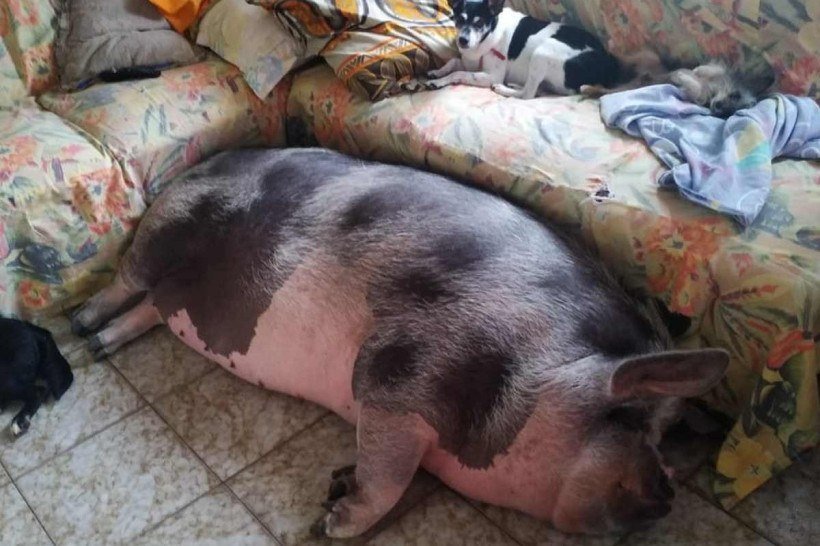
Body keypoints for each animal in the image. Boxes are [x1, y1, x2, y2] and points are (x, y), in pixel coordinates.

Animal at [71, 148, 729, 538]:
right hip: (165, 224)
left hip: (174, 288)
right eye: (634, 419)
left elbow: (392, 469)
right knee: (128, 277)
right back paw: (80, 325)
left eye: (672, 431)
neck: (549, 368)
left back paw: (99, 343)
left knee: (153, 307)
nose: (670, 491)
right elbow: (388, 469)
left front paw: (335, 490)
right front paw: (331, 525)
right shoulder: (400, 372)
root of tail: (202, 162)